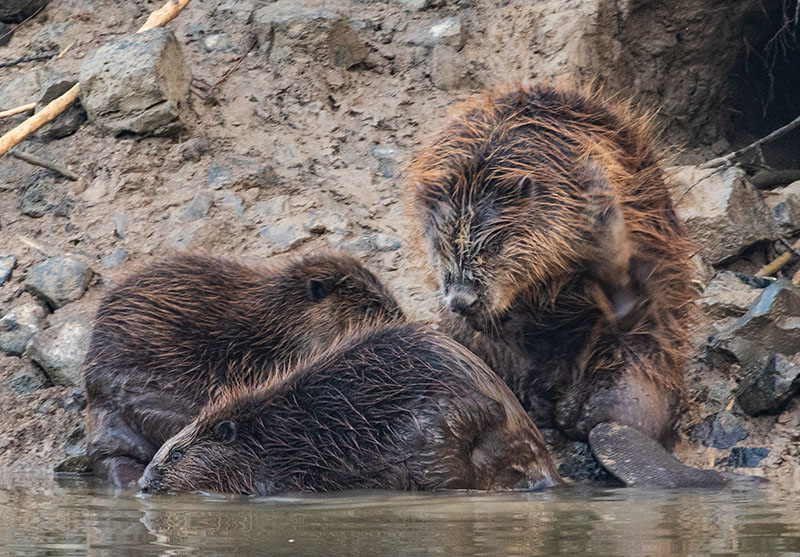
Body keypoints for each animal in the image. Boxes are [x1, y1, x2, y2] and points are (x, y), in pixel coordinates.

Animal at [410, 82, 740, 486]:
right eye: (439, 244)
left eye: (493, 245)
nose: (462, 300)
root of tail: (615, 427)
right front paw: (490, 317)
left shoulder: (585, 184)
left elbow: (612, 241)